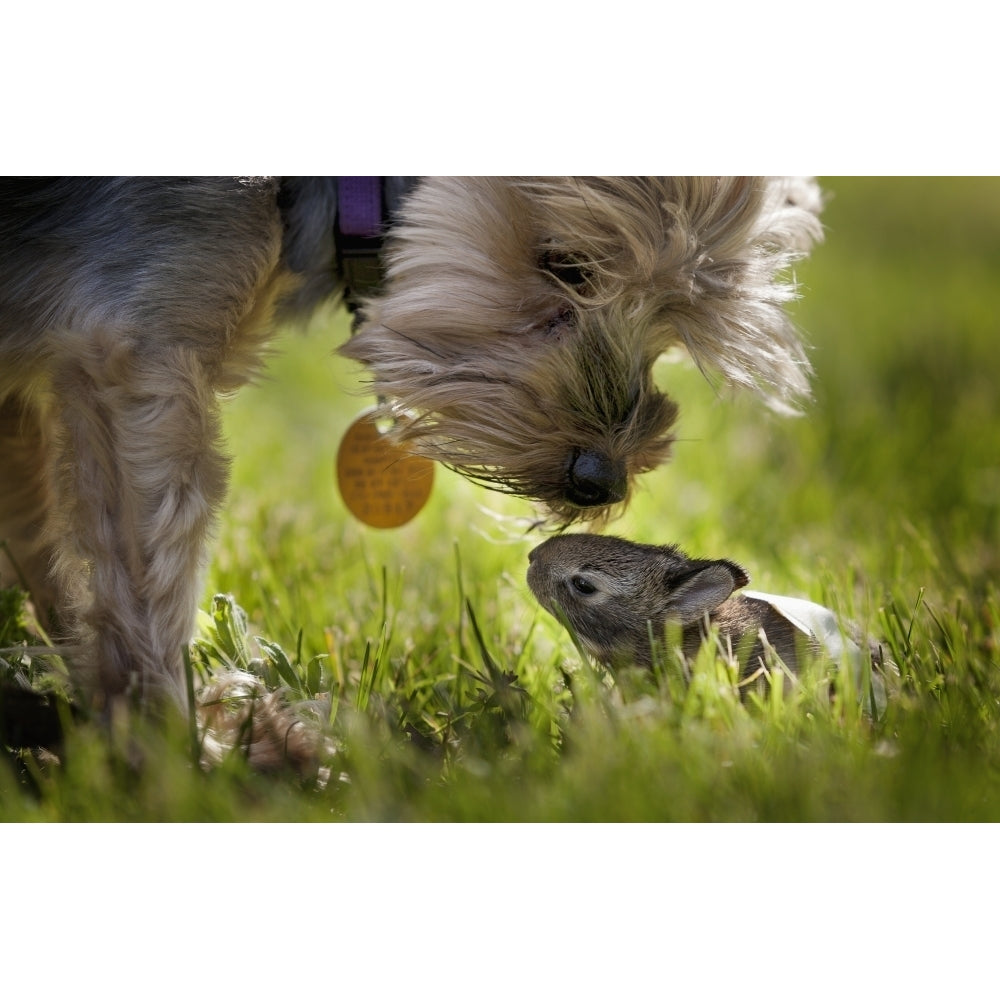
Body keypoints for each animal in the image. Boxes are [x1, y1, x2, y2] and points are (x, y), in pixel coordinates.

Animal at [1, 176, 820, 716]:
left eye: (672, 315)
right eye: (569, 264)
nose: (601, 480)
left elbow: (48, 550)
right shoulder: (136, 351)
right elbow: (146, 579)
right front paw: (176, 750)